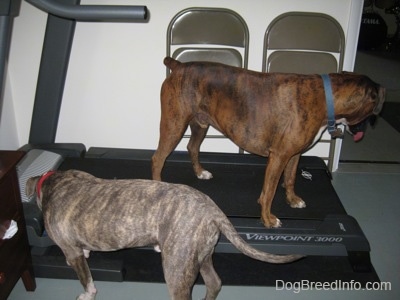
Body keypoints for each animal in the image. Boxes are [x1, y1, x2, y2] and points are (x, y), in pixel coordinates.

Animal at [26, 170, 302, 300]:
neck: (53, 182)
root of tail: (213, 209)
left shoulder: (71, 252)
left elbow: (87, 281)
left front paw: (85, 294)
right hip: (201, 255)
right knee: (214, 282)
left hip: (176, 268)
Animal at [151, 57, 384, 229]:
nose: (365, 128)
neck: (326, 97)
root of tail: (179, 66)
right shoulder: (279, 157)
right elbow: (269, 192)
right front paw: (268, 219)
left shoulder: (294, 155)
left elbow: (290, 179)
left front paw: (292, 200)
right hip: (174, 125)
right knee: (158, 158)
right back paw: (158, 187)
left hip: (200, 124)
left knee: (192, 147)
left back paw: (200, 172)